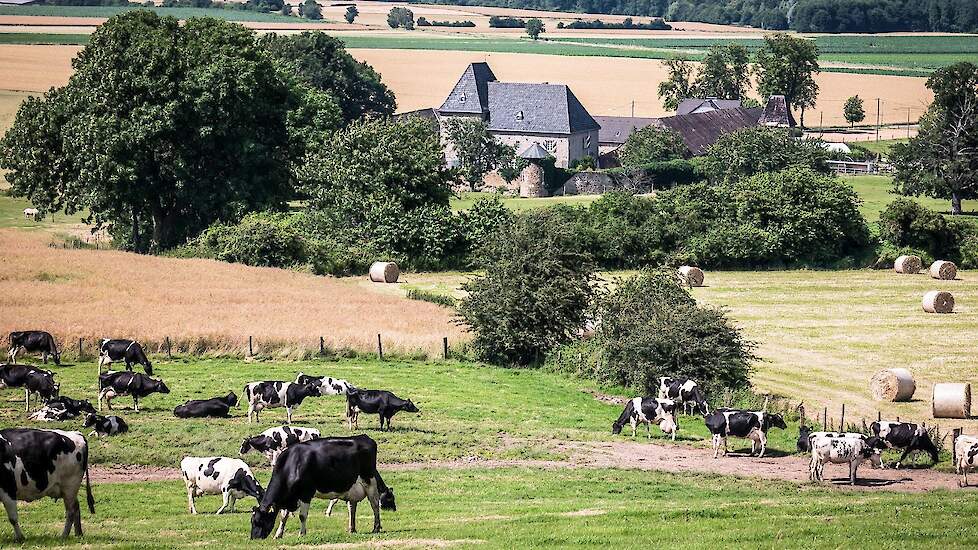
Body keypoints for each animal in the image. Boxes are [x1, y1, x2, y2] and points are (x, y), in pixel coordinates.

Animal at [252, 436, 396, 540]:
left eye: (260, 521)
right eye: (253, 521)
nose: (254, 538)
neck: (292, 464)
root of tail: (365, 437)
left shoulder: (306, 493)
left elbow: (302, 516)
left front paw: (302, 534)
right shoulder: (290, 497)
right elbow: (283, 516)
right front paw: (278, 534)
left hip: (369, 481)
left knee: (374, 505)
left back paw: (376, 527)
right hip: (352, 487)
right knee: (352, 508)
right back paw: (351, 529)